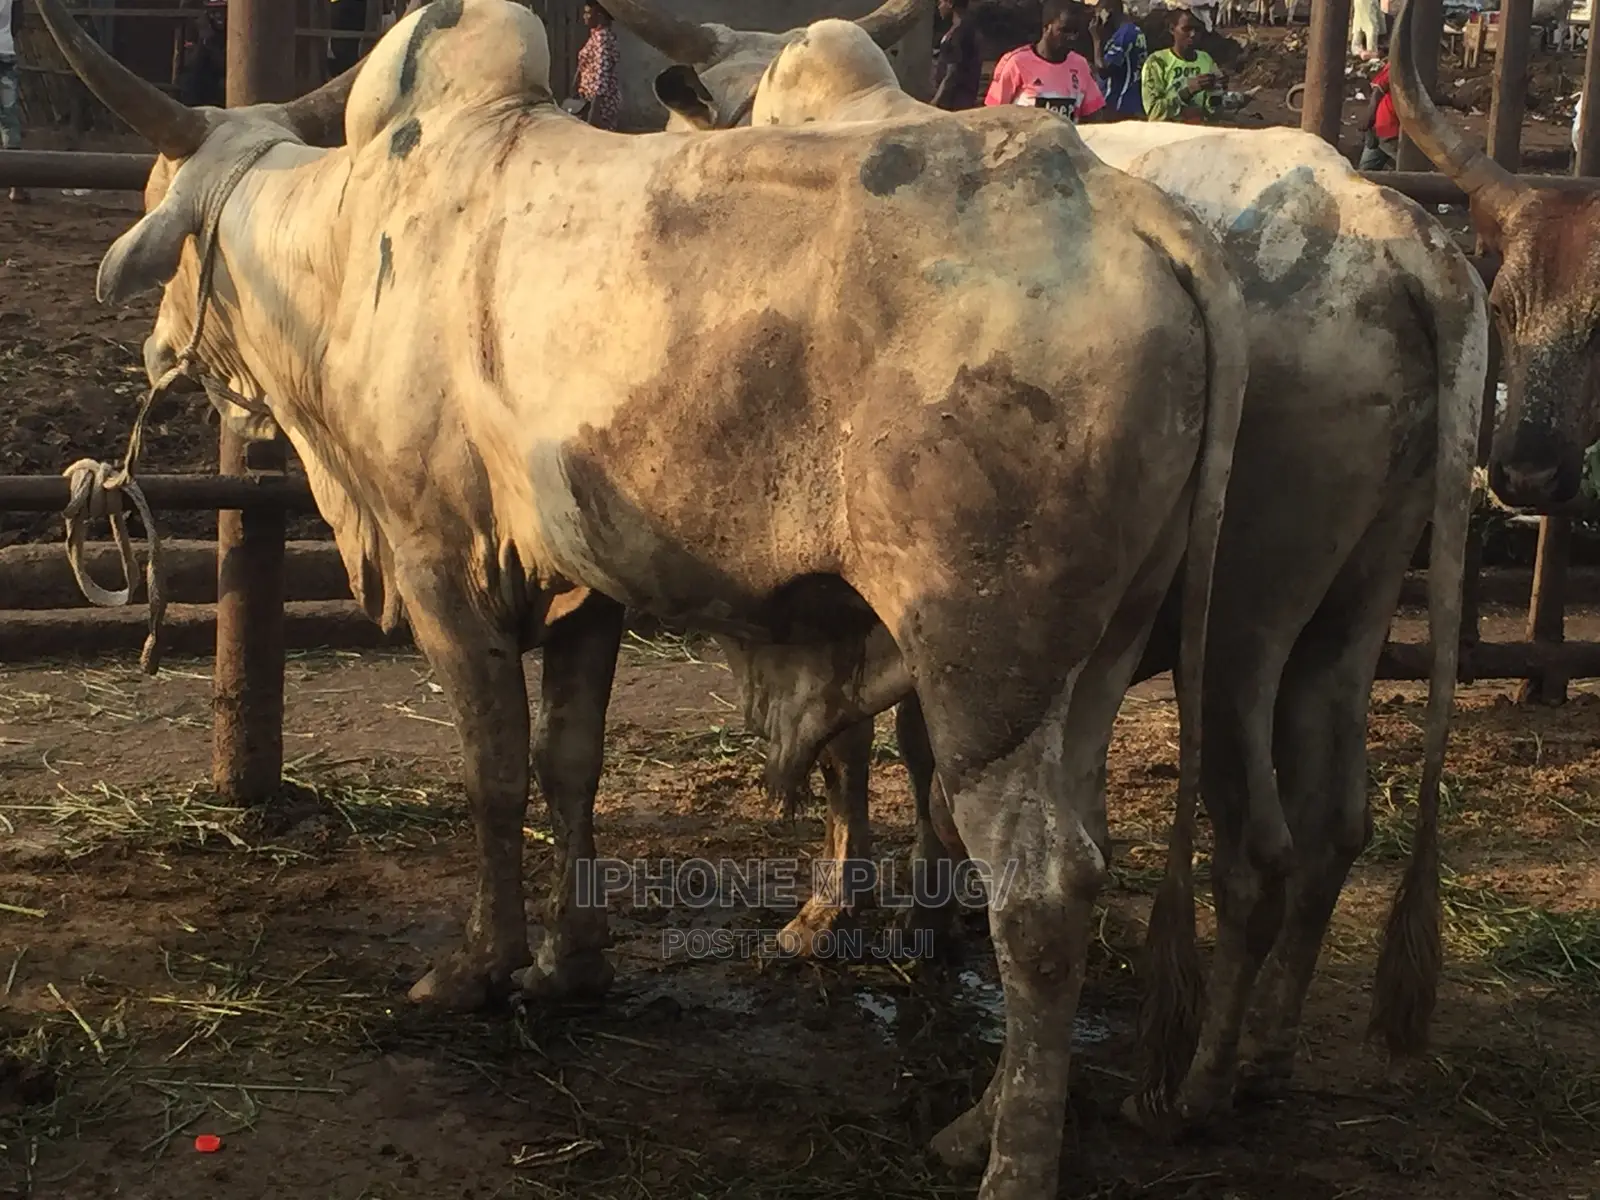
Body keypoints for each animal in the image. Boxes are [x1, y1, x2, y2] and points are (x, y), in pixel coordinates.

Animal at [33, 0, 1249, 1193]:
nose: (155, 348)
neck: (348, 241)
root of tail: (1135, 216)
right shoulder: (586, 589)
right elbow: (569, 762)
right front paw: (569, 964)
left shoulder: (439, 568)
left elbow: (491, 771)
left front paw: (477, 967)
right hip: (1091, 663)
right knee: (1079, 853)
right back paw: (977, 1118)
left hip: (984, 660)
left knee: (1039, 891)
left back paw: (1010, 1160)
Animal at [621, 12, 1487, 1129]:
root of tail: (1396, 230)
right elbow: (923, 753)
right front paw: (930, 905)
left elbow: (864, 753)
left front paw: (836, 910)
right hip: (1354, 601)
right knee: (1336, 819)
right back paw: (1264, 1057)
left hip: (1246, 619)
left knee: (1259, 846)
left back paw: (1197, 1085)